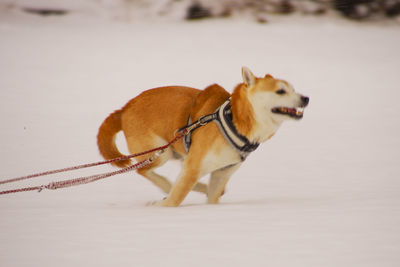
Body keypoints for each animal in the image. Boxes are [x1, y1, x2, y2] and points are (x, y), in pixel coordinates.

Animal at [97, 67, 310, 207]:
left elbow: (213, 195)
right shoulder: (193, 166)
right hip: (160, 153)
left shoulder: (221, 174)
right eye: (280, 91)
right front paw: (163, 207)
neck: (234, 120)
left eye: (293, 89)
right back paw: (168, 186)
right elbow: (174, 200)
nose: (306, 98)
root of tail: (124, 109)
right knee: (142, 170)